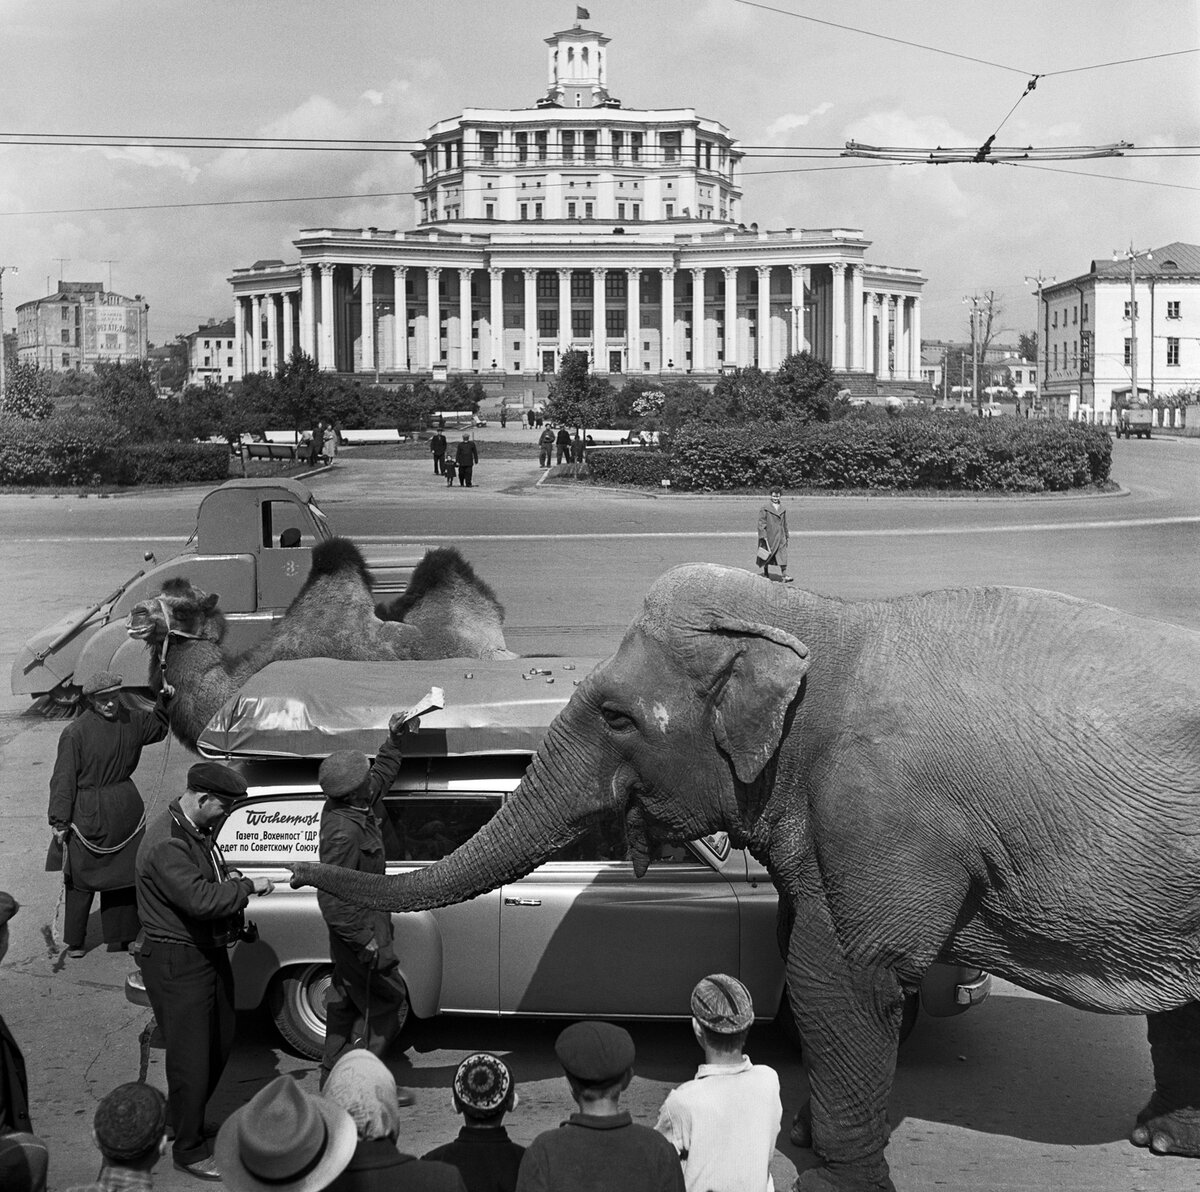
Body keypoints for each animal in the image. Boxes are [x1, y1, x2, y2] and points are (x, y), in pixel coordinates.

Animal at [288, 561, 1200, 1185]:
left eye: (616, 715)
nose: (294, 876)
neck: (823, 619)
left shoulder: (885, 811)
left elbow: (846, 977)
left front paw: (831, 1172)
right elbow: (810, 960)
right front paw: (803, 1138)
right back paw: (1162, 1140)